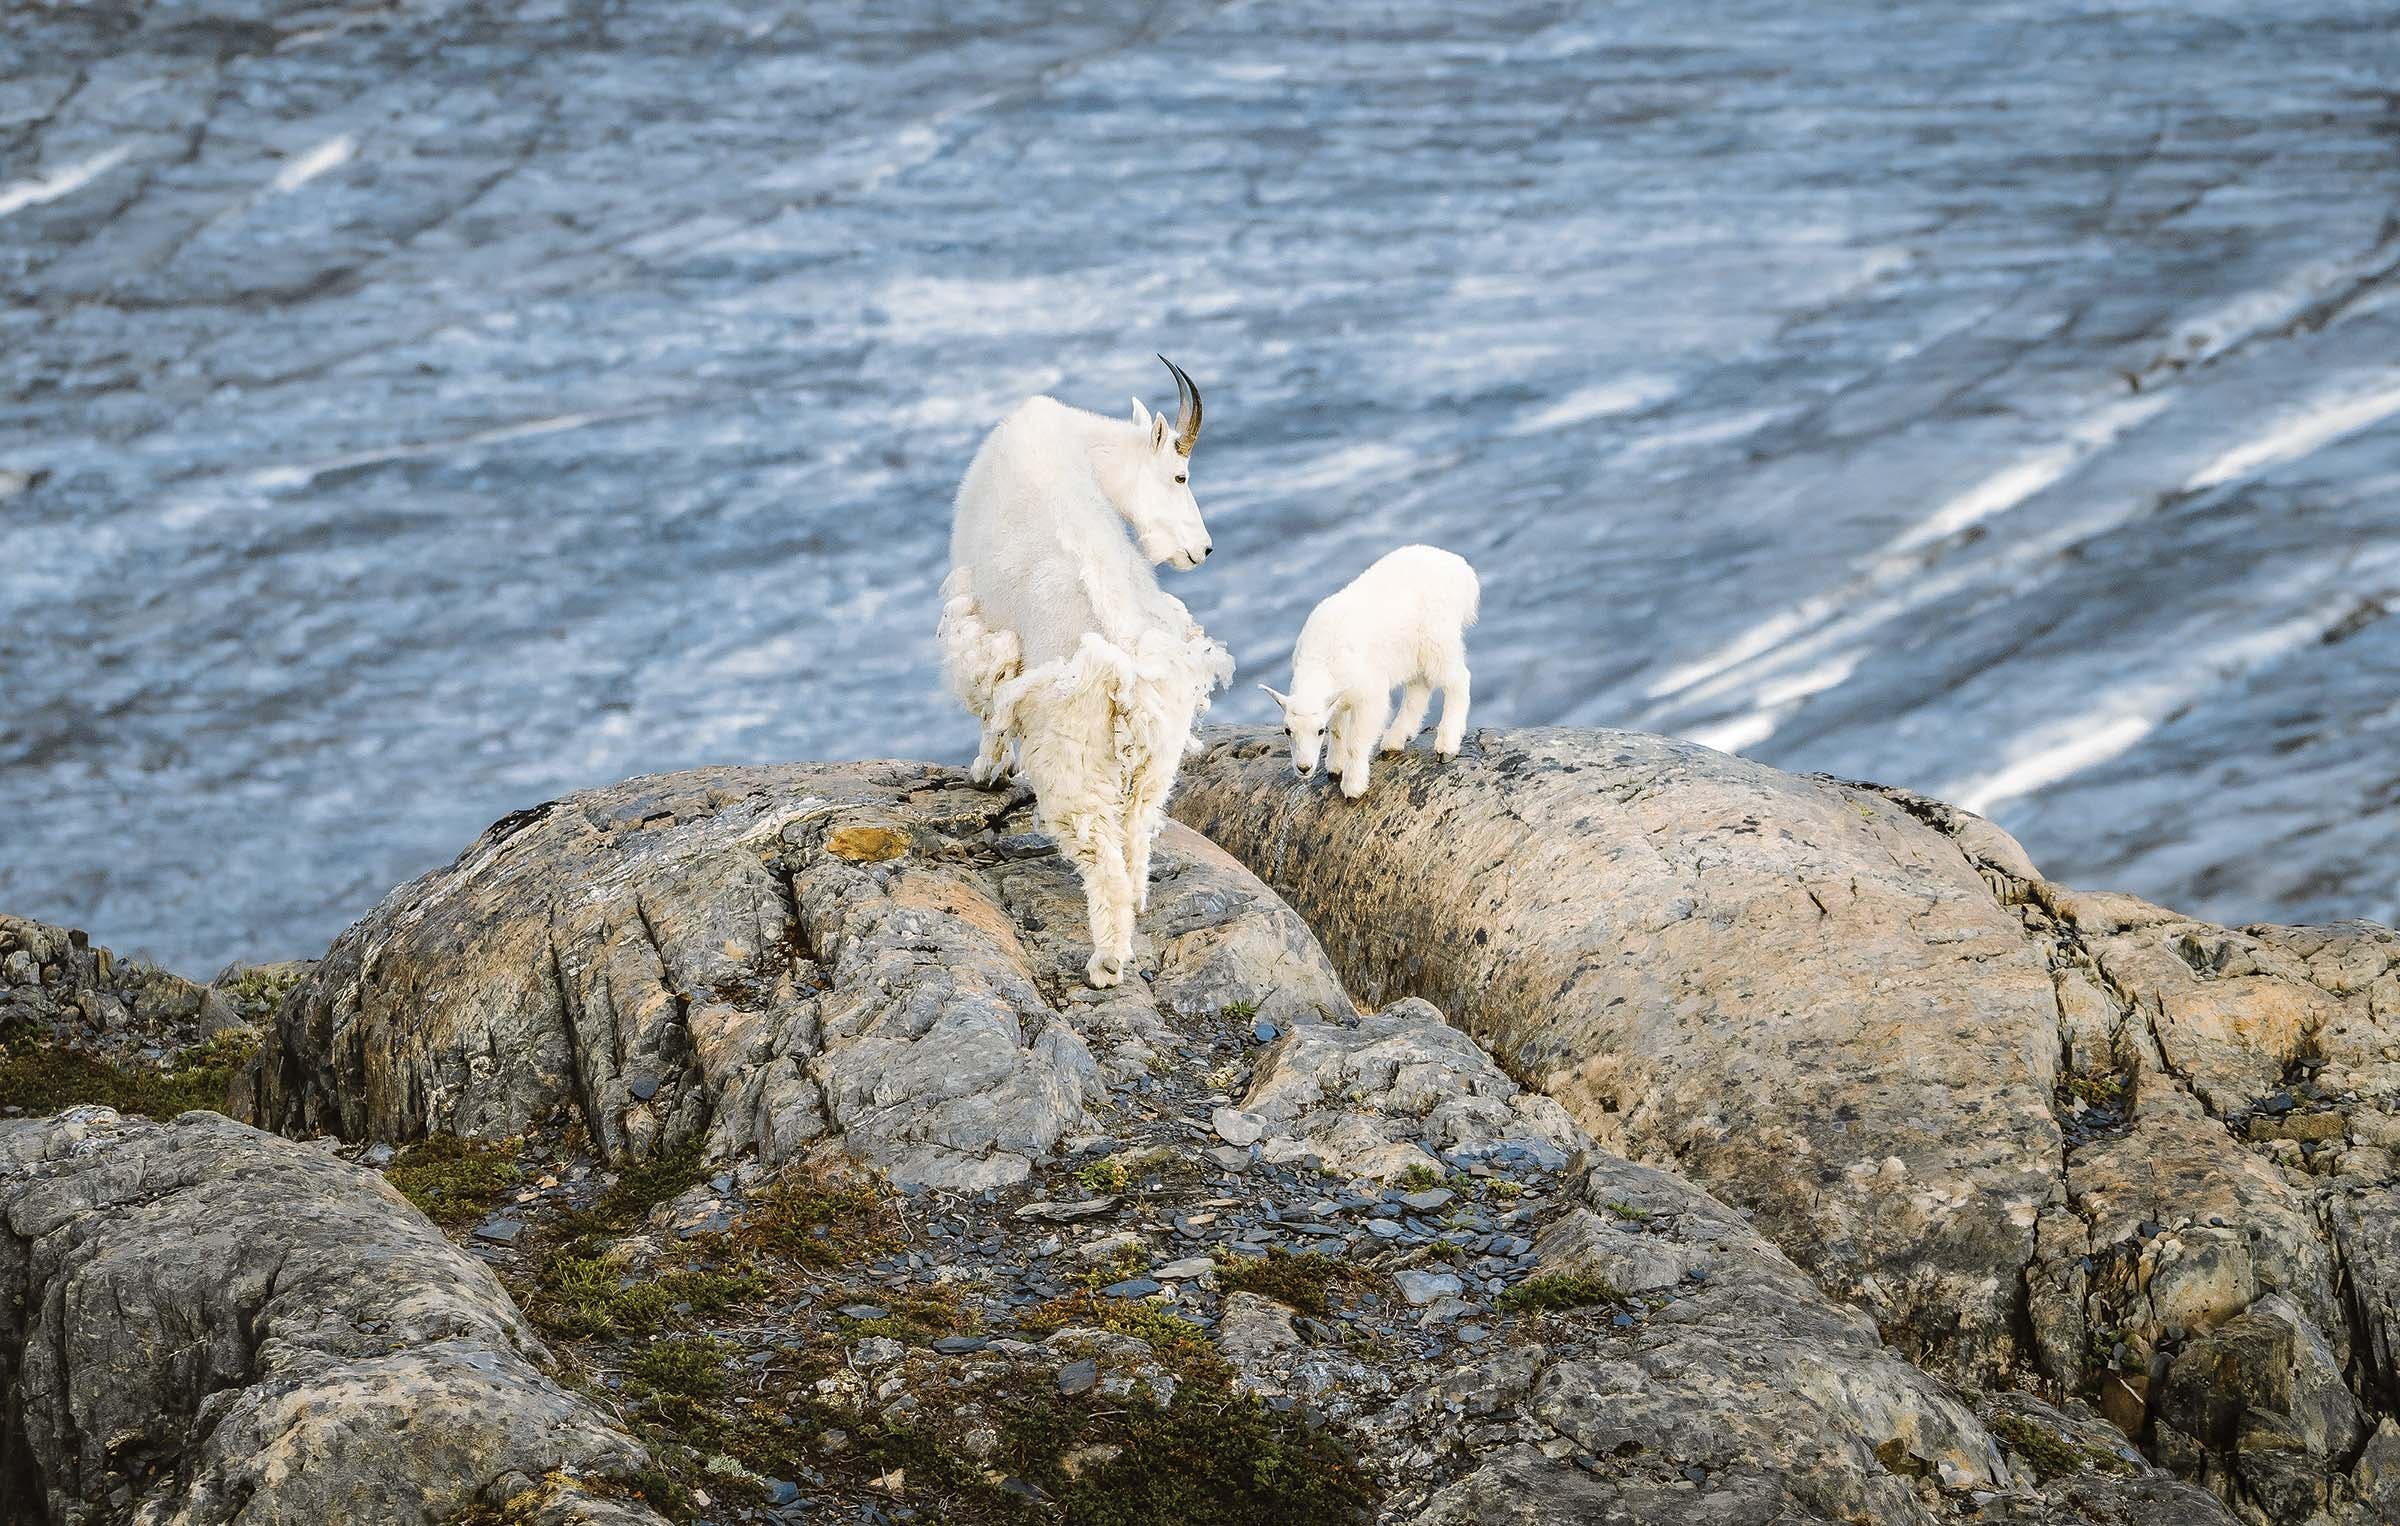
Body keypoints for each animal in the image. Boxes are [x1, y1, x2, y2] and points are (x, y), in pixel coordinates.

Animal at [938, 358, 1232, 987]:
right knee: (1138, 833)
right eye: (1180, 476)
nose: (1203, 549)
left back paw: (1106, 962)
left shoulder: (985, 619)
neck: (1078, 445)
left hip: (1072, 761)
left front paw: (985, 773)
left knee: (1102, 860)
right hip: (1155, 759)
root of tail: (1127, 680)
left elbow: (990, 703)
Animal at [1259, 544, 1479, 799]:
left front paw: (1353, 786)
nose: (1304, 768)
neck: (1322, 661)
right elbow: (1339, 730)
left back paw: (1446, 746)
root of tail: (1461, 569)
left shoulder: (1369, 695)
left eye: (1319, 730)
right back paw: (1395, 740)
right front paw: (1335, 768)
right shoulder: (1338, 699)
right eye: (1287, 730)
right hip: (1413, 652)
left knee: (1458, 681)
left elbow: (1356, 740)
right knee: (1419, 688)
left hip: (1438, 638)